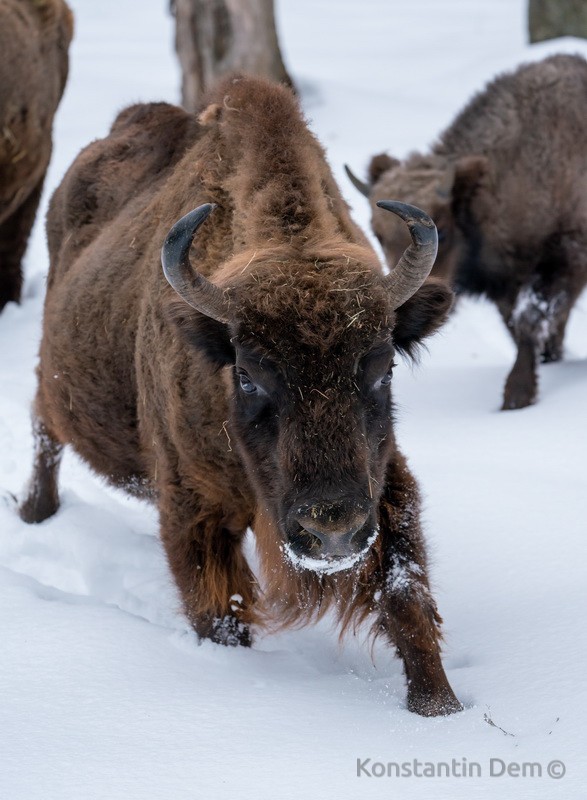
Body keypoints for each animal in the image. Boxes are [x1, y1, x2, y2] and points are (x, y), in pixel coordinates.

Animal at [20, 76, 462, 720]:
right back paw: (36, 512)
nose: (330, 531)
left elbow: (406, 595)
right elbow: (219, 613)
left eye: (383, 369)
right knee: (42, 429)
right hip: (50, 385)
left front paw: (441, 710)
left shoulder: (381, 490)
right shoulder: (194, 509)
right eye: (249, 374)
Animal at [346, 54, 587, 412]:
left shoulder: (563, 257)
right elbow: (519, 325)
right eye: (377, 234)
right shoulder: (507, 282)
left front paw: (515, 396)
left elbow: (531, 320)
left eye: (444, 231)